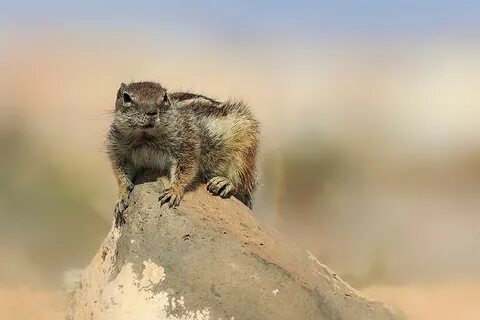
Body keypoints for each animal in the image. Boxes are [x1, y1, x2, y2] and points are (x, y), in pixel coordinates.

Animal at [107, 81, 260, 224]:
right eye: (126, 97)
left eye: (164, 97)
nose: (151, 112)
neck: (145, 136)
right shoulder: (119, 152)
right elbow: (121, 176)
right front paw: (121, 197)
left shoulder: (187, 144)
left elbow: (186, 170)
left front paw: (173, 191)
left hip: (244, 148)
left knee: (243, 183)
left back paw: (225, 182)